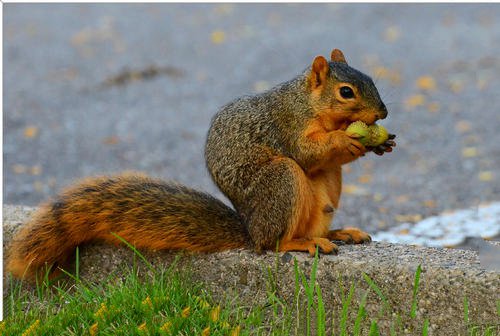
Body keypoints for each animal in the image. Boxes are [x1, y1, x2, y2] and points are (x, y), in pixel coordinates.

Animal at [4, 49, 394, 280]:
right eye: (346, 92)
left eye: (372, 80)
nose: (383, 113)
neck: (308, 103)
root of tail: (249, 229)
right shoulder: (286, 126)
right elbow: (307, 153)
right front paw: (348, 140)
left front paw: (382, 142)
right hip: (280, 180)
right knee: (271, 243)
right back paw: (299, 244)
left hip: (327, 187)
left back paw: (336, 233)